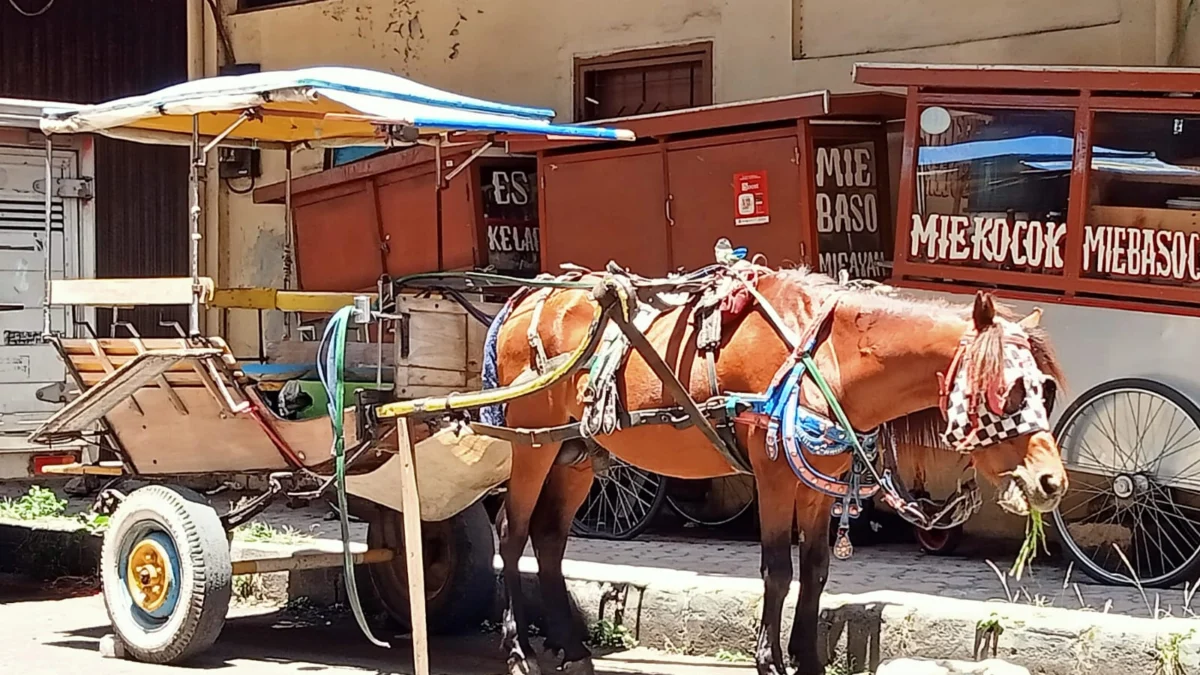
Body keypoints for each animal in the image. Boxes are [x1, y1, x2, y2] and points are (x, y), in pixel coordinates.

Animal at [489, 266, 1070, 672]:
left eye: (1044, 389)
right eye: (1004, 390)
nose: (1051, 482)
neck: (830, 359)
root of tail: (527, 297)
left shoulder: (817, 485)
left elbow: (815, 572)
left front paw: (807, 660)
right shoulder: (772, 476)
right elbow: (777, 570)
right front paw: (769, 660)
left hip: (575, 452)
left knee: (549, 538)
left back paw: (571, 648)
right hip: (532, 443)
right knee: (512, 532)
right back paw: (519, 649)